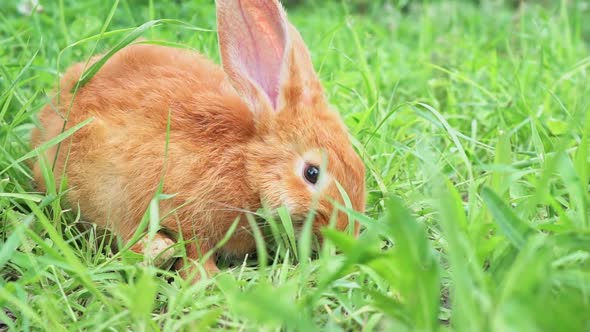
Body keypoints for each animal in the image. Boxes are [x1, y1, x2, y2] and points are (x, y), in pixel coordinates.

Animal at [32, 0, 368, 280]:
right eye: (311, 173)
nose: (347, 234)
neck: (246, 169)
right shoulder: (187, 214)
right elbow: (195, 251)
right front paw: (209, 279)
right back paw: (158, 250)